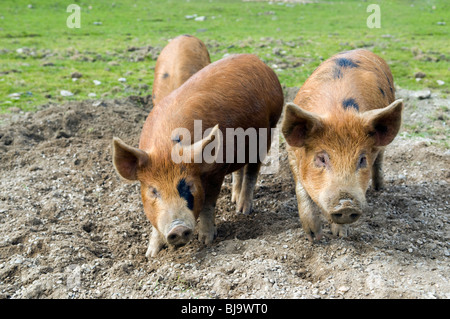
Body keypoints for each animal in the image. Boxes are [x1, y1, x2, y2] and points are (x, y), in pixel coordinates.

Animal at [111, 53, 282, 258]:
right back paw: (233, 200)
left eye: (189, 185)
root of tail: (257, 60)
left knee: (252, 171)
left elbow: (208, 203)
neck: (166, 146)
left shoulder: (217, 170)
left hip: (268, 131)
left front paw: (206, 241)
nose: (177, 229)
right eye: (153, 191)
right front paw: (151, 254)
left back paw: (243, 210)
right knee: (239, 169)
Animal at [282, 48, 404, 241]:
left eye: (362, 159)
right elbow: (301, 189)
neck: (338, 112)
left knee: (380, 159)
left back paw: (379, 188)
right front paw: (314, 237)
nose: (346, 204)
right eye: (321, 158)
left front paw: (341, 235)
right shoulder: (292, 152)